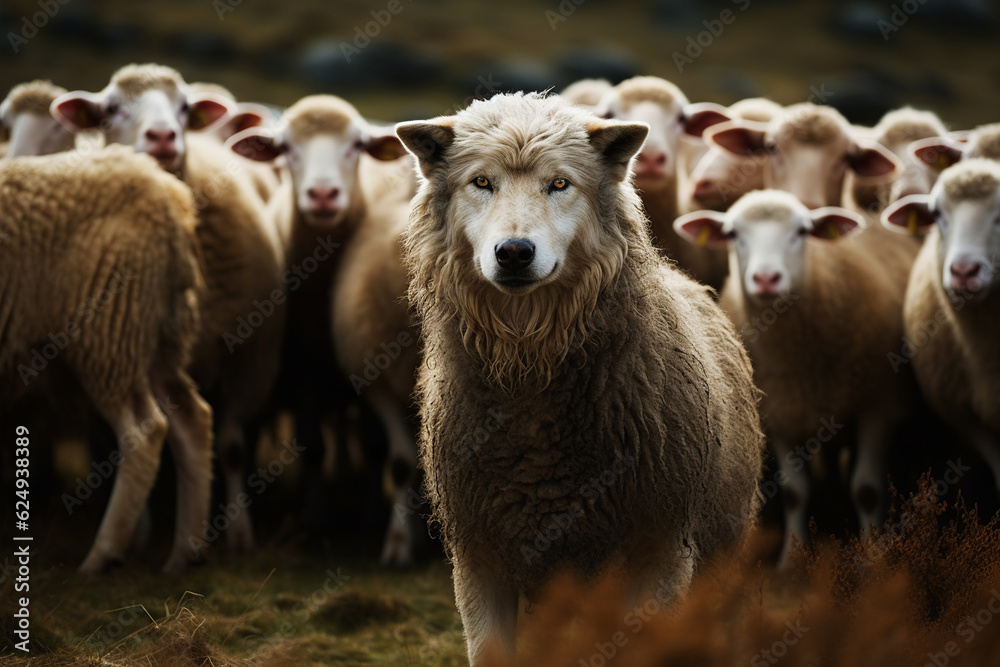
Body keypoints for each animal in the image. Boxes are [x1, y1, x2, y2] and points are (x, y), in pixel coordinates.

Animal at [0, 145, 211, 573]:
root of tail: (169, 195)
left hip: (110, 331)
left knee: (145, 432)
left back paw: (101, 556)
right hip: (157, 339)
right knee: (192, 421)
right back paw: (184, 554)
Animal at [52, 64, 286, 553]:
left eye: (182, 107)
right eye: (111, 109)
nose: (163, 136)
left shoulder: (246, 365)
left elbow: (231, 448)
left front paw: (238, 533)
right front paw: (136, 535)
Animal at [227, 94, 418, 565]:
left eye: (355, 146)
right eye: (287, 149)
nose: (323, 194)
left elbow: (378, 450)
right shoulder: (304, 370)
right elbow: (313, 446)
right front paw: (316, 517)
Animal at [674, 189, 920, 567]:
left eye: (802, 231)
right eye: (732, 233)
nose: (766, 279)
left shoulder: (877, 403)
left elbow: (866, 489)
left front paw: (873, 557)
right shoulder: (780, 412)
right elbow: (794, 492)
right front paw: (792, 559)